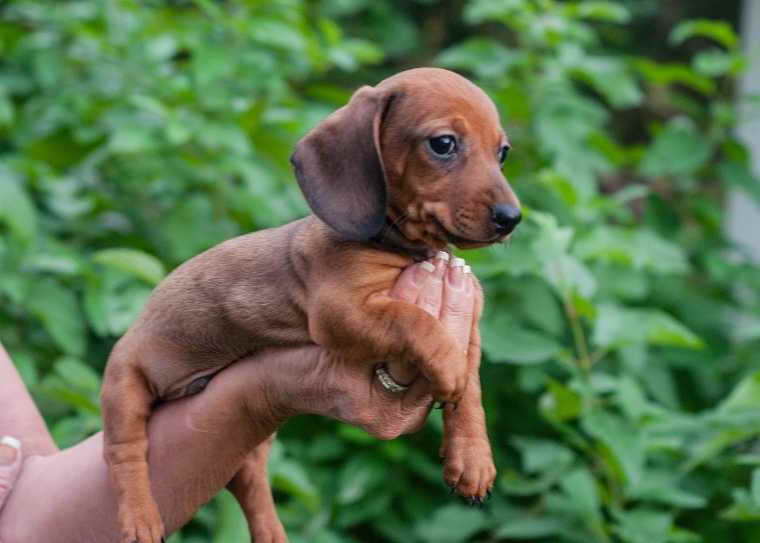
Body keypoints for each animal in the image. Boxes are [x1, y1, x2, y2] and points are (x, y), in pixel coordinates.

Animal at [101, 68, 520, 543]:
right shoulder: (342, 311)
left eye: (503, 152)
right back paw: (140, 518)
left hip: (250, 443)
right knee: (125, 455)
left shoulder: (469, 331)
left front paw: (473, 458)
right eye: (444, 143)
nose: (512, 218)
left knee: (250, 481)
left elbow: (473, 392)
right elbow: (413, 321)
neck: (402, 247)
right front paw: (448, 370)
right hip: (124, 385)